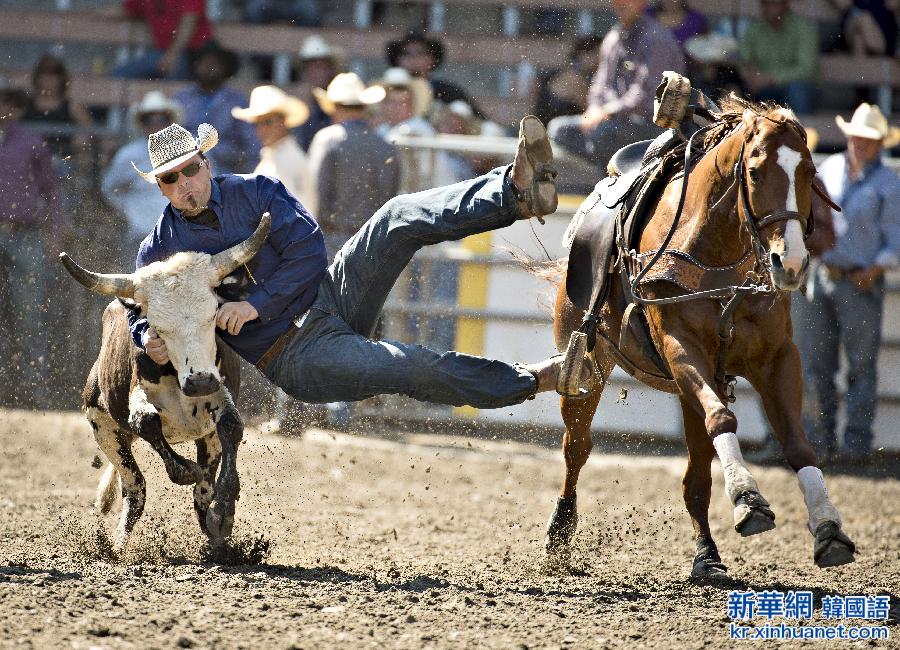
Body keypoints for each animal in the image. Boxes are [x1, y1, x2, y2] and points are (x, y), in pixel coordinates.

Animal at [548, 100, 856, 576]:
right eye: (754, 172)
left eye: (809, 173)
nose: (790, 264)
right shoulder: (682, 348)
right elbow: (723, 420)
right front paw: (749, 500)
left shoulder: (777, 358)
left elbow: (797, 444)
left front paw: (828, 527)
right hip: (585, 367)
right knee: (576, 447)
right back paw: (561, 531)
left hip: (684, 388)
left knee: (695, 476)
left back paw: (706, 555)